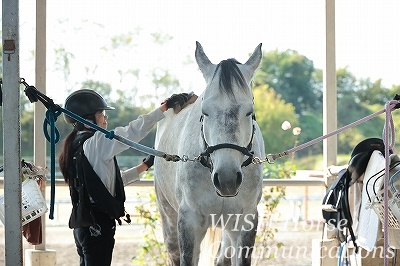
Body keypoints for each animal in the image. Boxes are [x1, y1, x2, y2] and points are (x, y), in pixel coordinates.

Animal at [155, 42, 266, 264]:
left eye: (249, 112)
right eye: (205, 111)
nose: (227, 178)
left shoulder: (245, 221)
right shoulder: (189, 222)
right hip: (168, 217)